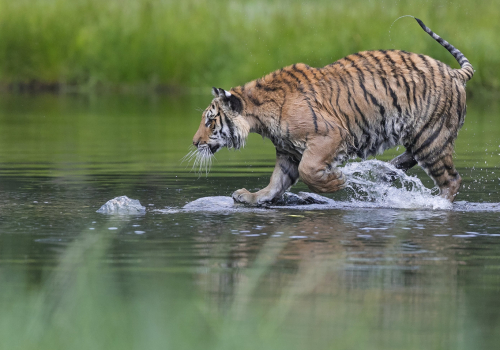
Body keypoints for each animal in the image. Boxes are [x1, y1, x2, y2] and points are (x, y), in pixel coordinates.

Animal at [190, 18, 472, 205]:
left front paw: (336, 181)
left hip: (431, 137)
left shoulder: (330, 135)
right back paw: (386, 172)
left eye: (210, 121)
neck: (259, 115)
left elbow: (308, 169)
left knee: (451, 180)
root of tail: (454, 72)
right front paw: (251, 197)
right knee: (411, 160)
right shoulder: (287, 152)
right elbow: (276, 182)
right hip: (421, 137)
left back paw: (436, 204)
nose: (194, 143)